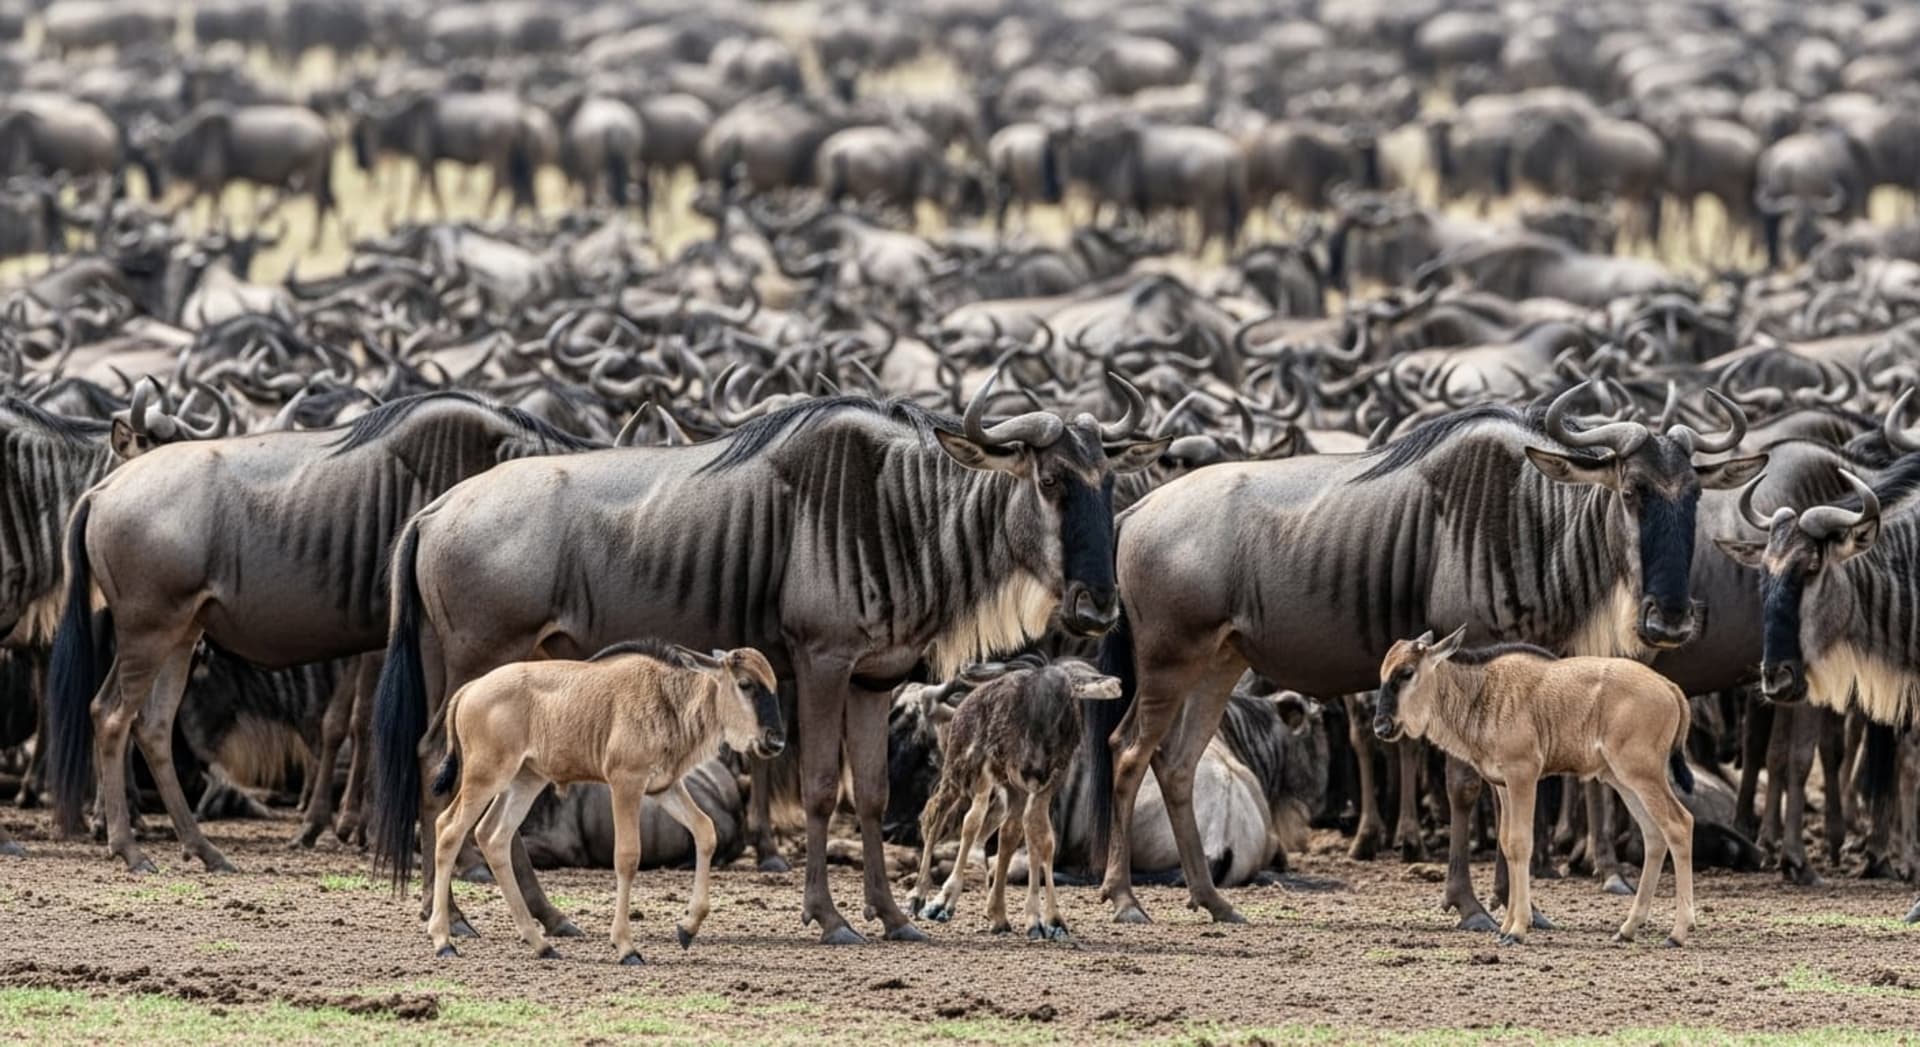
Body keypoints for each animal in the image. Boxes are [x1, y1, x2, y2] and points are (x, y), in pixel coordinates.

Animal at [424, 641, 784, 964]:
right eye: (745, 684)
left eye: (773, 685)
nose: (776, 741)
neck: (668, 699)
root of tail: (470, 689)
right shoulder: (625, 784)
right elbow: (627, 857)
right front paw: (626, 947)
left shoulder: (665, 788)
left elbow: (705, 831)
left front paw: (687, 928)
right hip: (486, 778)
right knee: (449, 829)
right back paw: (443, 940)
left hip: (524, 781)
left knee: (492, 836)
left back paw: (540, 944)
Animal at [1374, 628, 1697, 947]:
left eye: (1406, 672)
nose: (1381, 726)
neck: (1482, 691)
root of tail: (1668, 686)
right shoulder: (1503, 785)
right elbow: (1506, 844)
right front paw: (1505, 926)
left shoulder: (1523, 776)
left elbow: (1520, 843)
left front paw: (1518, 929)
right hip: (1624, 780)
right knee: (1655, 835)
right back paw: (1628, 928)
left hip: (1643, 775)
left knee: (1679, 825)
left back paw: (1678, 932)